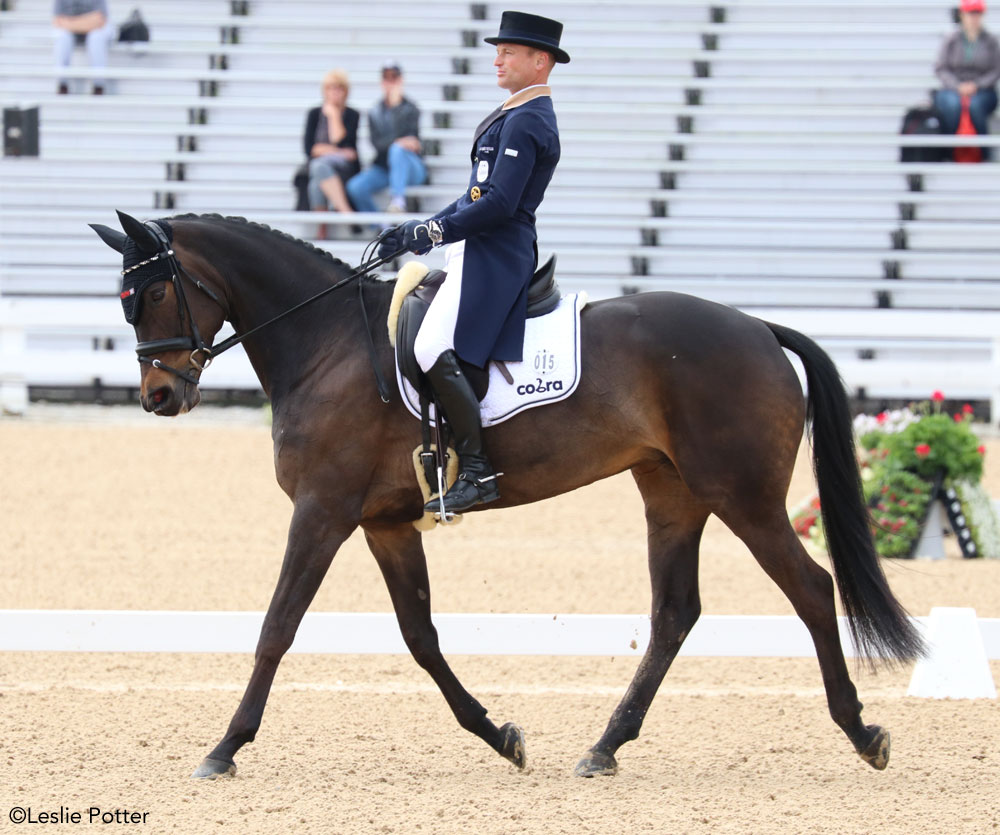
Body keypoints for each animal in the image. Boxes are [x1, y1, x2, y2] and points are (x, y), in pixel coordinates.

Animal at [90, 212, 924, 780]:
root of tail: (757, 326)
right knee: (674, 614)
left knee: (811, 590)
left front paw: (224, 746)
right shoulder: (386, 524)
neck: (328, 341)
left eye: (155, 290)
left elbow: (276, 626)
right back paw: (604, 746)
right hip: (672, 493)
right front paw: (501, 735)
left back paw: (863, 732)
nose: (158, 396)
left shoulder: (322, 512)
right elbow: (421, 637)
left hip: (741, 495)